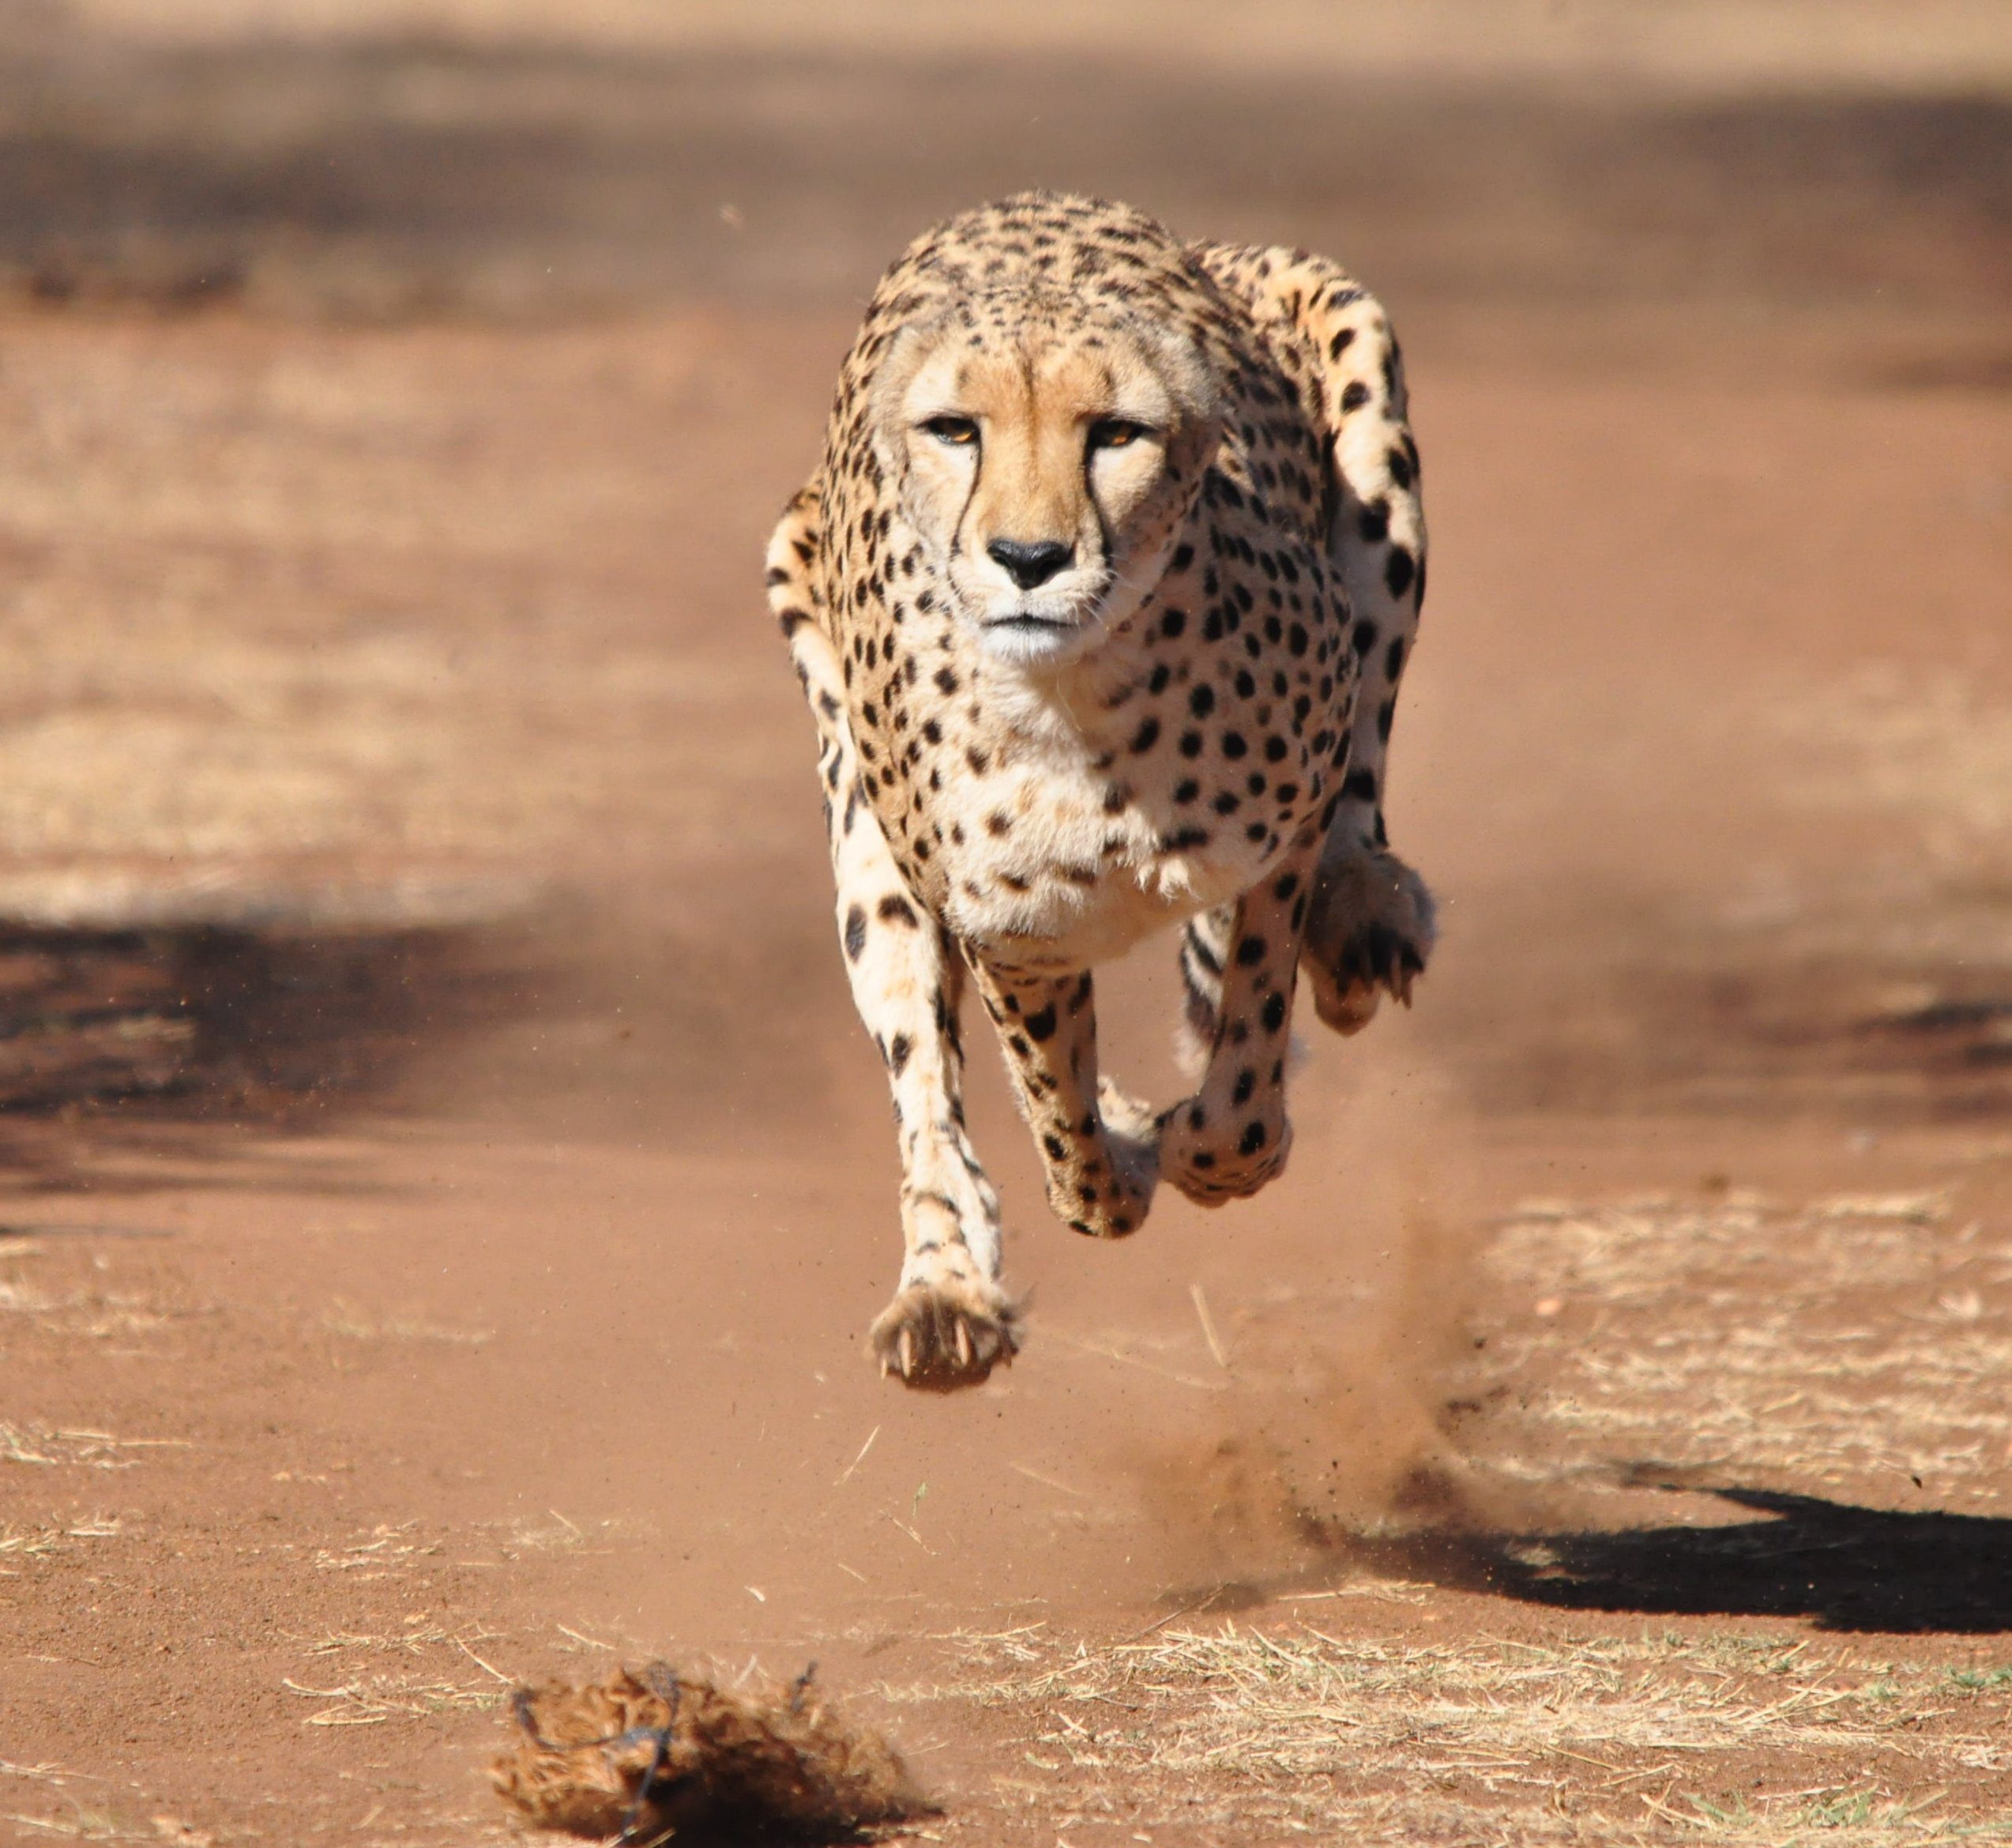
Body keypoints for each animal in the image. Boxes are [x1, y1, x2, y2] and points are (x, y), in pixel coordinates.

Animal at [760, 195, 1440, 1393]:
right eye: (956, 429)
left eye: (1115, 432)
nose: (1027, 557)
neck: (1078, 699)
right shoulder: (1010, 935)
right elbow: (1057, 1120)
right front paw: (1117, 1160)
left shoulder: (1286, 821)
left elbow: (1240, 1081)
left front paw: (1198, 1144)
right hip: (860, 832)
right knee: (924, 1089)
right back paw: (943, 1292)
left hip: (1369, 426)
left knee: (1367, 751)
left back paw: (1363, 917)